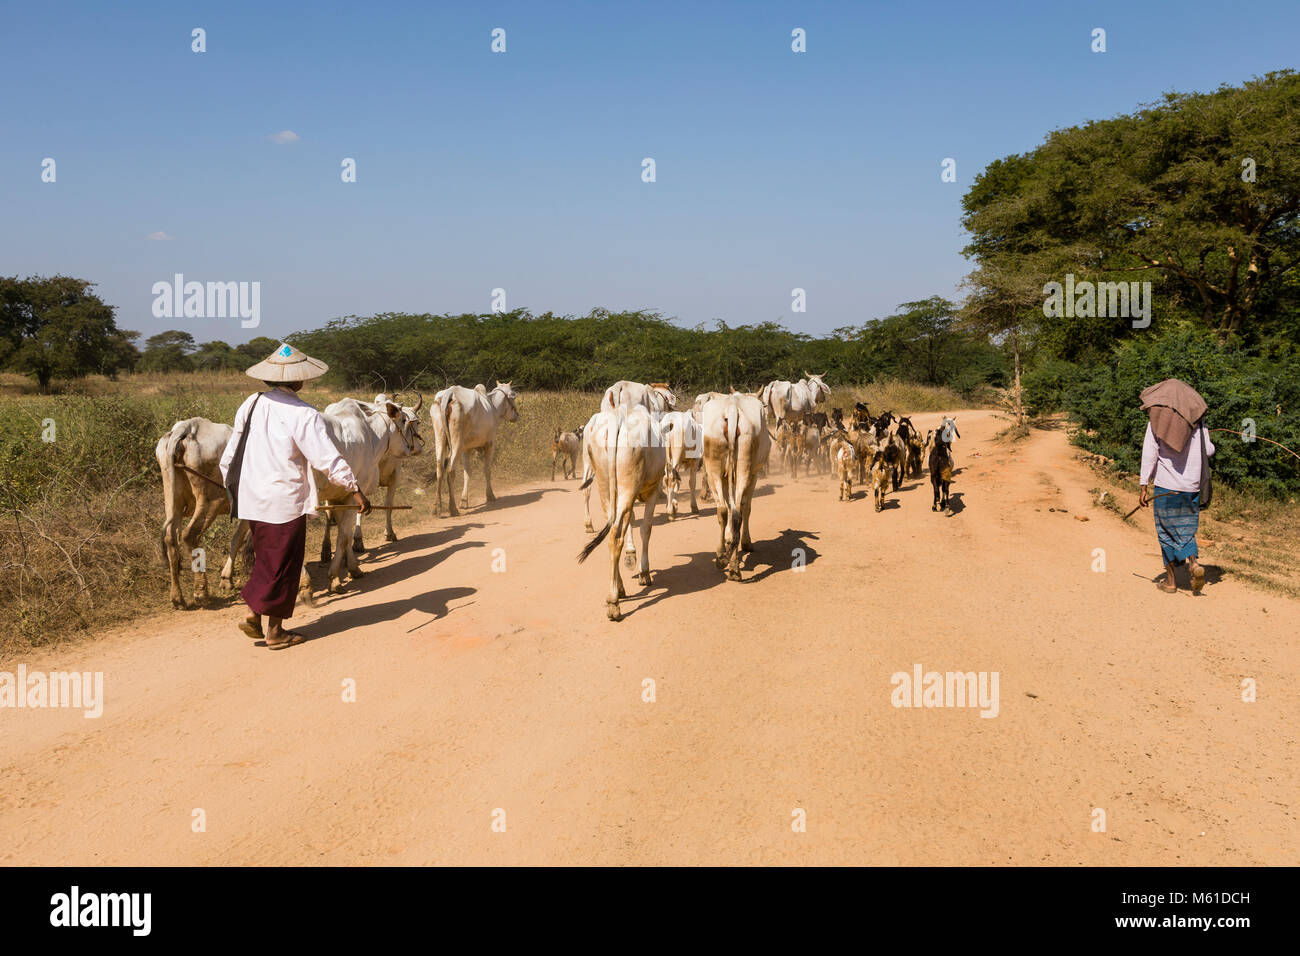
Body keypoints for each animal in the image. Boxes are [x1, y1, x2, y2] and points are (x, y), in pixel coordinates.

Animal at [434, 382, 520, 515]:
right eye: (513, 397)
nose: (516, 415)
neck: (492, 406)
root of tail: (449, 393)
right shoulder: (490, 444)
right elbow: (487, 470)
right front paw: (490, 495)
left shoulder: (466, 449)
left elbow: (467, 473)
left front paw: (464, 501)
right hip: (457, 441)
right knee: (450, 471)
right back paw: (452, 508)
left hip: (439, 438)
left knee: (439, 468)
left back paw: (437, 508)